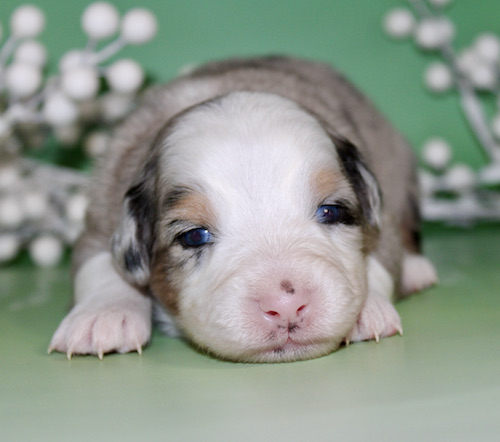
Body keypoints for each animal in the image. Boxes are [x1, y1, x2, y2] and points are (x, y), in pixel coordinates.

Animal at [48, 56, 437, 362]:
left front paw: (368, 310)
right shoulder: (103, 209)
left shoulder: (381, 214)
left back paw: (416, 270)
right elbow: (100, 264)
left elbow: (381, 257)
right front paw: (102, 317)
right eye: (194, 236)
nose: (285, 304)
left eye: (332, 212)